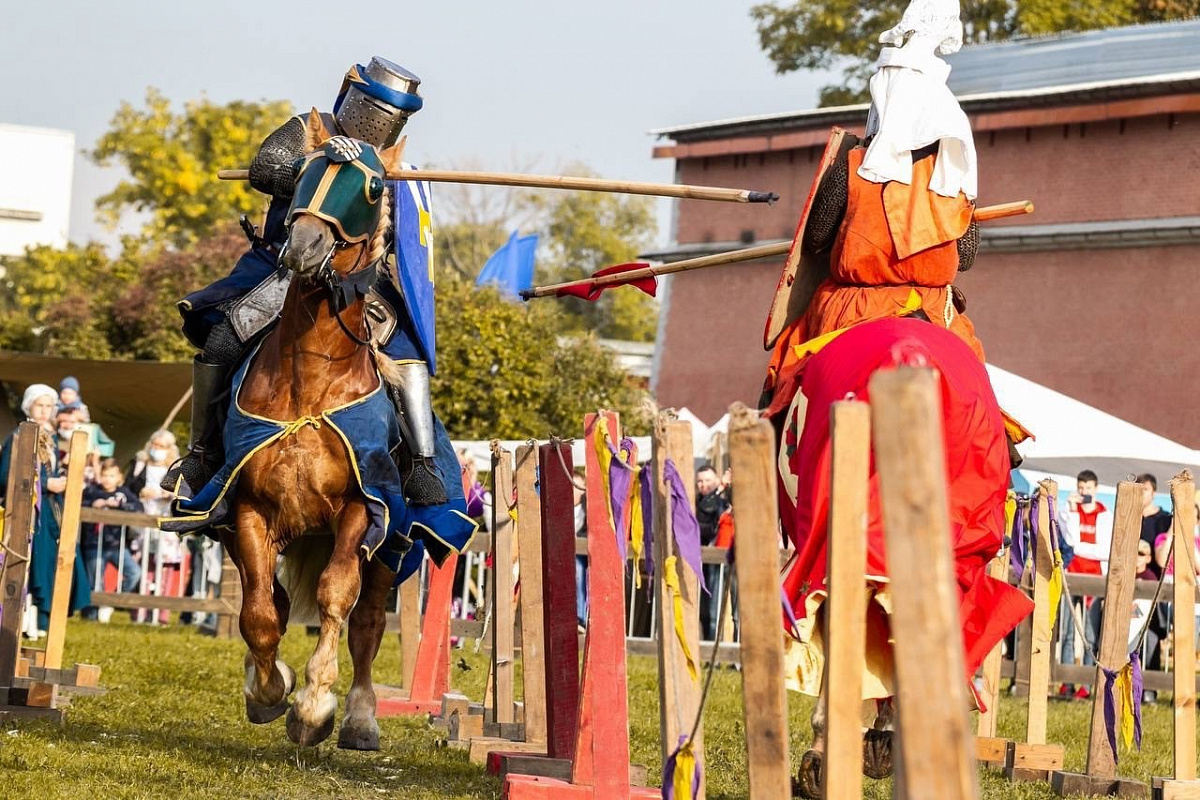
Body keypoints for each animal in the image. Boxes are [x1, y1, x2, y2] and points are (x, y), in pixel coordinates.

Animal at [226, 110, 405, 753]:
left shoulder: (363, 509)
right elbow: (258, 613)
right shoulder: (248, 509)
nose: (303, 247)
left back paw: (360, 719)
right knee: (272, 602)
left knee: (368, 622)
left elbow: (335, 598)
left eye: (373, 187)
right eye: (304, 172)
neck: (310, 377)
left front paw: (313, 707)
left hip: (392, 548)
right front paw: (268, 691)